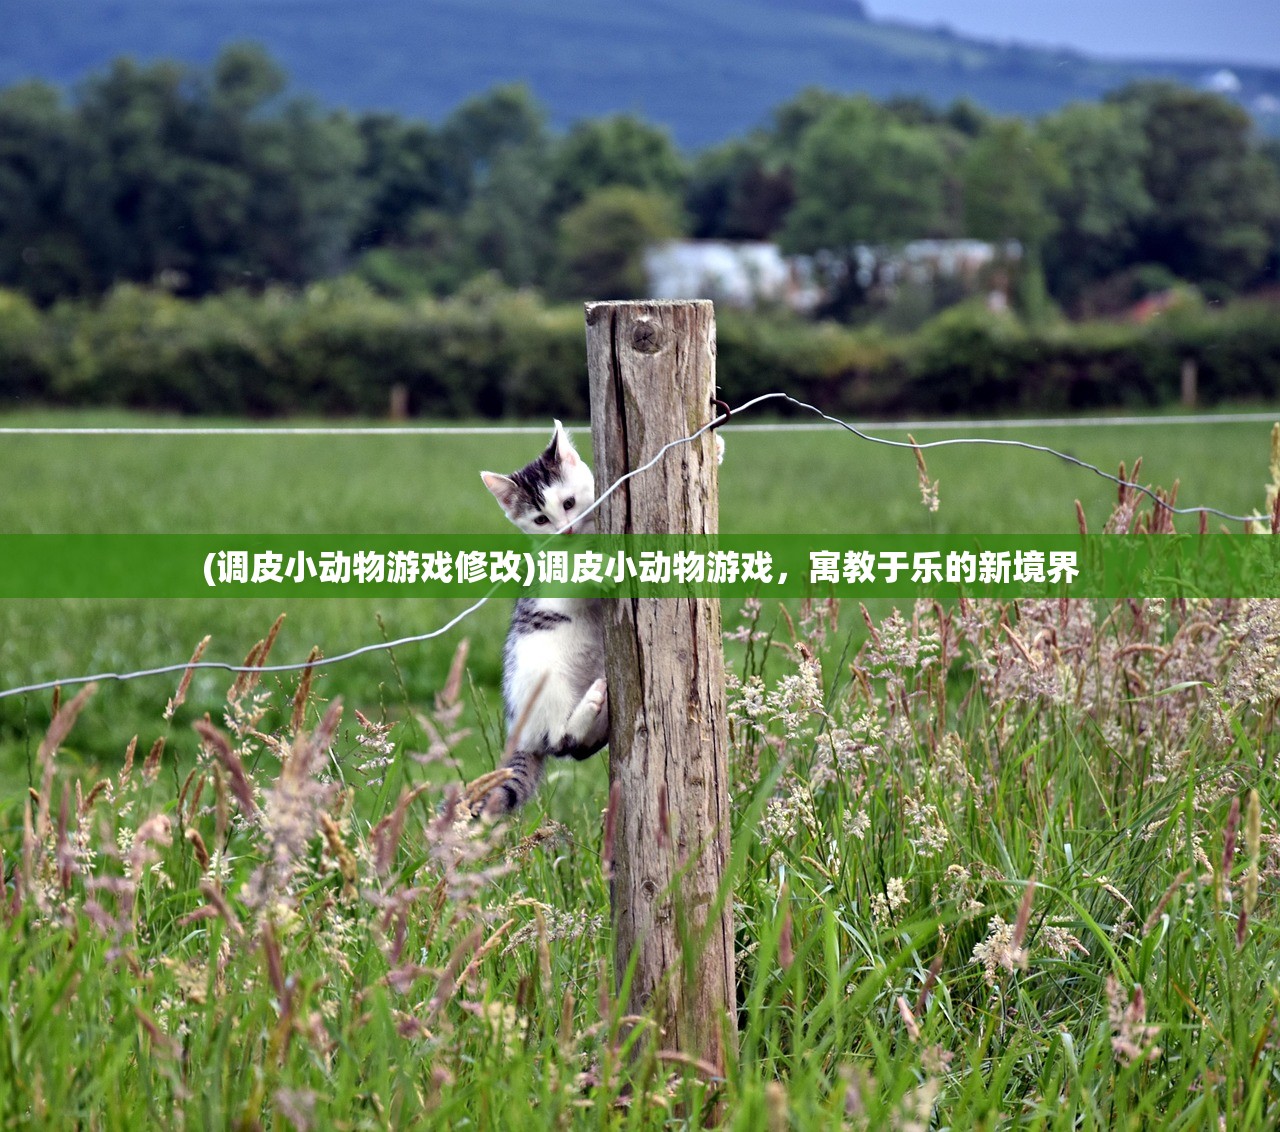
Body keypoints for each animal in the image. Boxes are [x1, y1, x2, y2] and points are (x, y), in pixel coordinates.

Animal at [476, 420, 609, 819]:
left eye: (568, 503)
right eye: (541, 519)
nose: (565, 529)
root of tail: (518, 732)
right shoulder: (555, 579)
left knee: (577, 749)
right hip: (543, 678)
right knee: (561, 741)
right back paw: (590, 706)